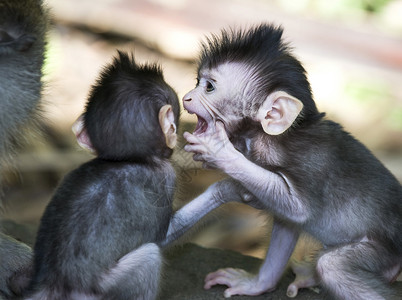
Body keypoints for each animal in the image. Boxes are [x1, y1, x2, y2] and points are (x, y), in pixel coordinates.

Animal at [25, 51, 180, 300]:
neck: (131, 158)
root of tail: (55, 283)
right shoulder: (167, 177)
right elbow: (163, 236)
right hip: (107, 288)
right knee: (150, 257)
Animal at [161, 24, 402, 300]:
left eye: (209, 87)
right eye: (197, 82)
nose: (187, 97)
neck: (268, 138)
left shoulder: (311, 162)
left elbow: (299, 209)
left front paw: (219, 151)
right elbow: (287, 221)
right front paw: (257, 284)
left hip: (384, 249)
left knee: (333, 266)